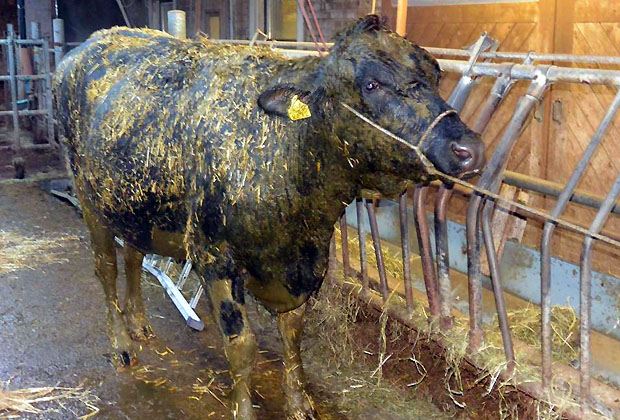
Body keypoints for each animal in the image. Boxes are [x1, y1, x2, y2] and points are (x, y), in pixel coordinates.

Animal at [53, 15, 484, 419]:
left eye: (435, 75)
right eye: (372, 84)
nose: (469, 148)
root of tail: (87, 46)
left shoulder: (306, 264)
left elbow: (293, 335)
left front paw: (299, 403)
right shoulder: (215, 257)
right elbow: (242, 345)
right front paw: (244, 410)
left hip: (132, 203)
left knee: (132, 255)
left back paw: (140, 325)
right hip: (88, 198)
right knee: (106, 268)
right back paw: (122, 345)